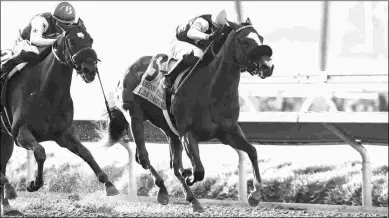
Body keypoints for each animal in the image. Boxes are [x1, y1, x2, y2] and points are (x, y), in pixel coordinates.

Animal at [0, 17, 118, 212]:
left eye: (91, 40)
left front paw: (109, 184)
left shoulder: (64, 134)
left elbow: (86, 153)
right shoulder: (20, 133)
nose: (90, 70)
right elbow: (40, 152)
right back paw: (9, 193)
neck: (46, 91)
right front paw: (33, 184)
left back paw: (7, 206)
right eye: (72, 41)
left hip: (5, 138)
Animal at [103, 17, 272, 212]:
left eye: (261, 38)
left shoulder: (228, 132)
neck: (212, 89)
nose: (268, 66)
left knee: (172, 165)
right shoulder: (188, 133)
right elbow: (198, 171)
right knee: (144, 158)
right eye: (245, 41)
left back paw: (191, 198)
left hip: (168, 129)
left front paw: (255, 195)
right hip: (134, 116)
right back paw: (165, 190)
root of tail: (128, 69)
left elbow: (252, 151)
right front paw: (189, 175)